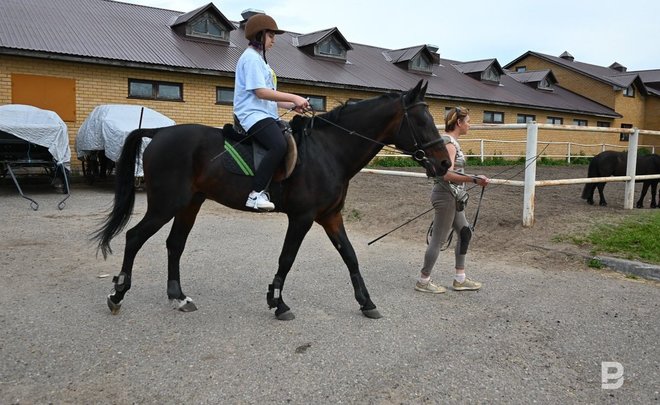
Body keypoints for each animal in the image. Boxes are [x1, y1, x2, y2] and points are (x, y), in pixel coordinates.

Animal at [93, 79, 452, 318]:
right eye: (422, 121)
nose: (445, 164)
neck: (328, 150)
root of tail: (159, 133)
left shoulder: (331, 216)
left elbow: (350, 256)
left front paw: (367, 302)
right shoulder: (303, 217)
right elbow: (287, 258)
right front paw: (278, 302)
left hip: (190, 204)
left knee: (174, 245)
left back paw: (178, 297)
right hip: (166, 204)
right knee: (134, 237)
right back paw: (117, 294)